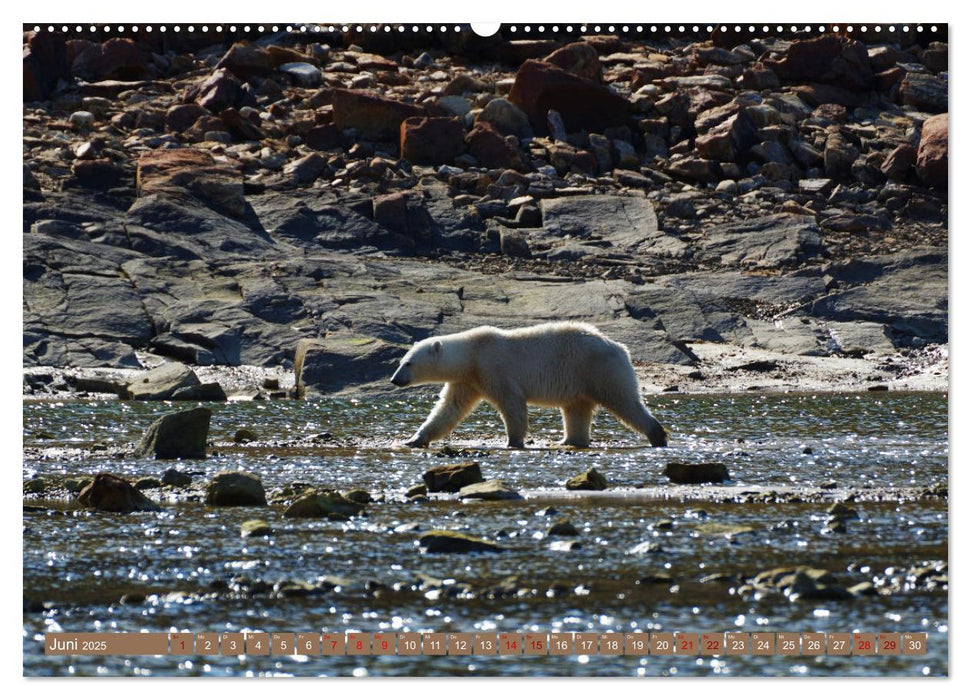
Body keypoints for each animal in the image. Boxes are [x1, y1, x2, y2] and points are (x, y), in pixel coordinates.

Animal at [390, 322, 668, 448]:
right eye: (401, 361)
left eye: (409, 363)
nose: (395, 379)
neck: (472, 353)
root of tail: (620, 347)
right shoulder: (468, 380)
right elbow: (449, 409)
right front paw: (414, 439)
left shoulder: (494, 368)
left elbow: (511, 403)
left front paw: (513, 441)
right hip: (581, 380)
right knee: (577, 409)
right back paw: (569, 440)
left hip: (598, 369)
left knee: (623, 401)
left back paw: (657, 434)